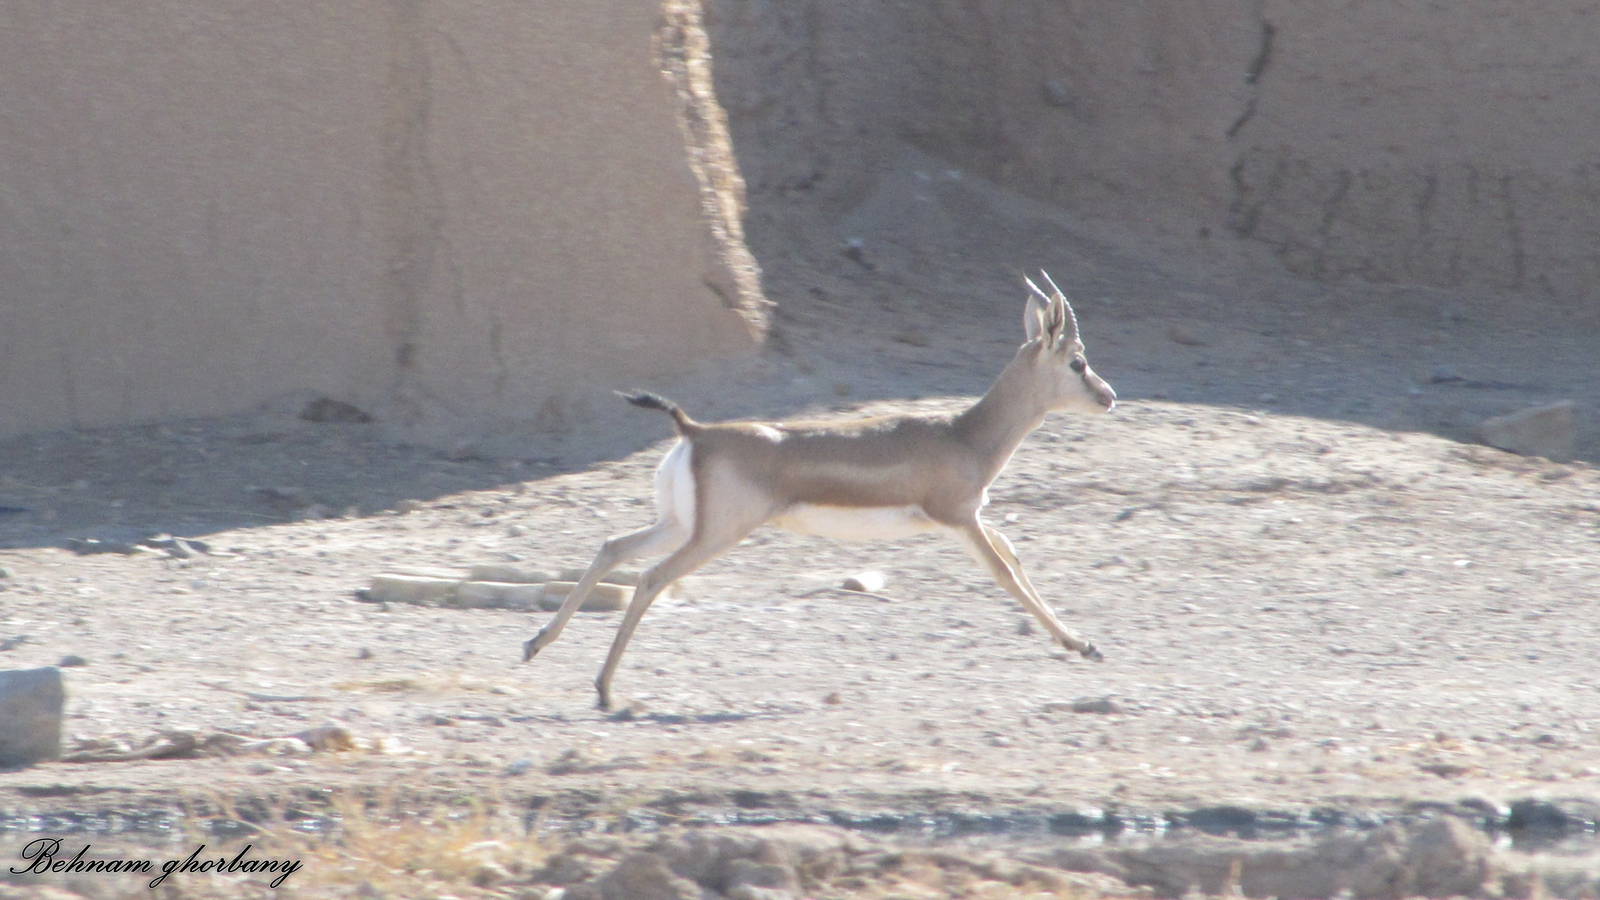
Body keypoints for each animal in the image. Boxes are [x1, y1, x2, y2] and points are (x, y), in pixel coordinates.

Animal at [523, 272, 1118, 710]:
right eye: (1078, 361)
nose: (1109, 396)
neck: (964, 436)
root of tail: (694, 431)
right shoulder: (959, 518)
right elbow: (1004, 573)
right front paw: (1081, 644)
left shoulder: (968, 518)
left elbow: (1014, 558)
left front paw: (1081, 642)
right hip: (715, 535)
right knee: (649, 578)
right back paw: (604, 689)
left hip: (678, 524)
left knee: (613, 548)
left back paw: (537, 644)